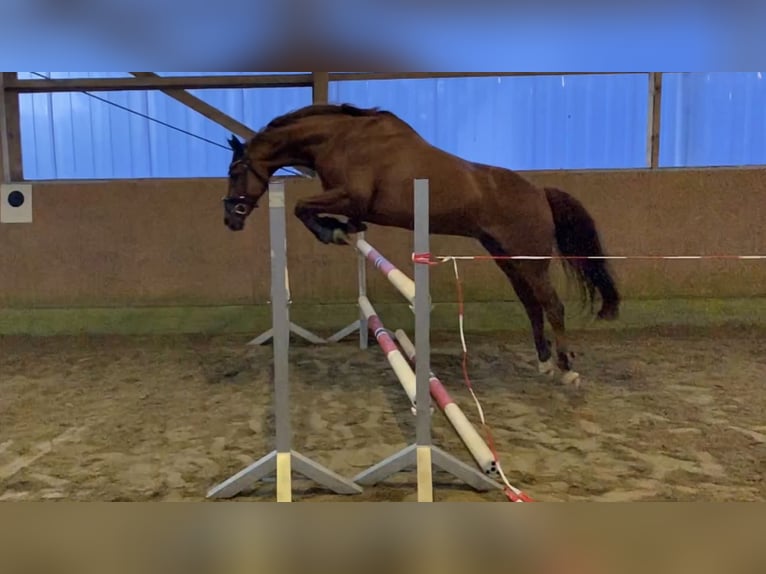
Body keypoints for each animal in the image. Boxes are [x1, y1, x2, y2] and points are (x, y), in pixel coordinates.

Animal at [222, 103, 620, 386]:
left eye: (235, 171)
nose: (231, 219)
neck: (340, 139)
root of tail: (540, 193)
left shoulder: (351, 196)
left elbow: (302, 207)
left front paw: (331, 232)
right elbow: (323, 213)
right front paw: (342, 229)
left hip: (530, 260)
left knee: (552, 305)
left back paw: (566, 367)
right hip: (507, 258)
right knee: (532, 306)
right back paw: (544, 362)